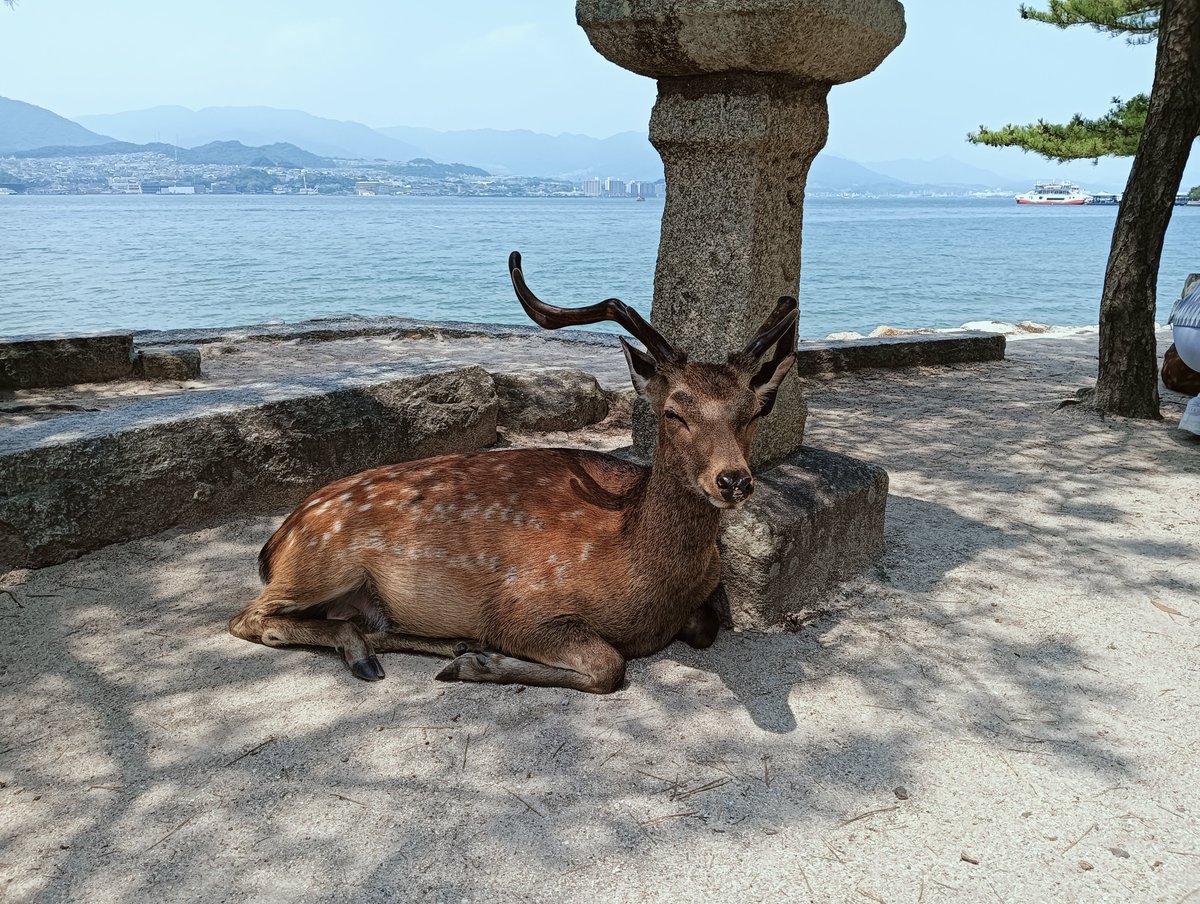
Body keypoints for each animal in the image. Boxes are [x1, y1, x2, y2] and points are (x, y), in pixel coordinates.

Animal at [228, 251, 798, 693]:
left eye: (752, 412)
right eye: (673, 412)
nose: (733, 480)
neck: (647, 587)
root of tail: (275, 540)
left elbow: (706, 627)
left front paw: (471, 656)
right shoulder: (523, 604)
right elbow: (609, 664)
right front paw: (483, 663)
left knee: (358, 622)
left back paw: (447, 644)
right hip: (322, 562)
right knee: (250, 618)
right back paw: (377, 656)